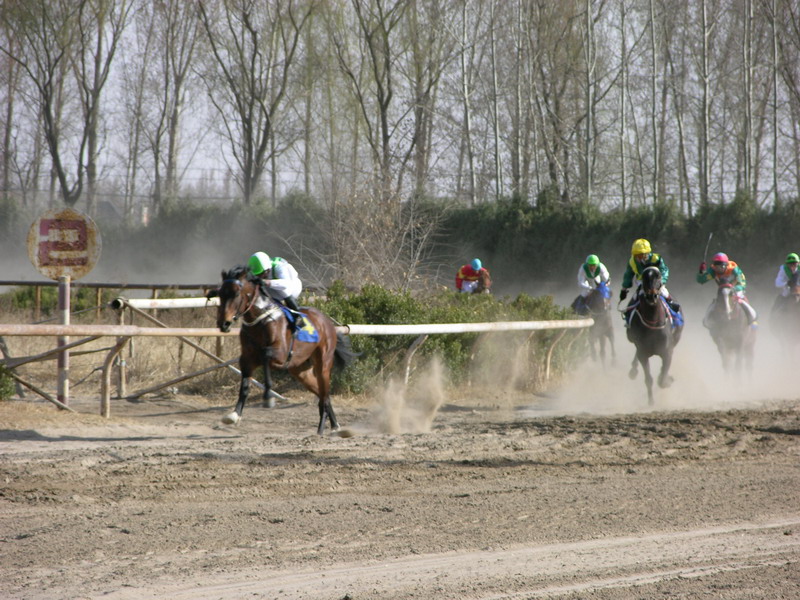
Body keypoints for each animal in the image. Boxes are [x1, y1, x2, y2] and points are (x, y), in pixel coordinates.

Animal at [209, 264, 356, 434]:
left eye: (236, 293)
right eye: (221, 294)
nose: (224, 323)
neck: (260, 321)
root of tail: (327, 321)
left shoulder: (280, 354)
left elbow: (265, 355)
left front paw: (268, 397)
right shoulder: (246, 360)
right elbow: (244, 387)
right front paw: (234, 415)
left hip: (323, 365)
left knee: (324, 394)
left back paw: (324, 429)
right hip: (301, 372)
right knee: (322, 394)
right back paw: (332, 426)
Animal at [624, 270, 680, 406]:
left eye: (658, 276)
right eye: (644, 278)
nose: (651, 296)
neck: (653, 323)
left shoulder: (667, 352)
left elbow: (663, 377)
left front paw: (667, 379)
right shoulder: (643, 353)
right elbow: (648, 378)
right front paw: (651, 401)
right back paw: (633, 370)